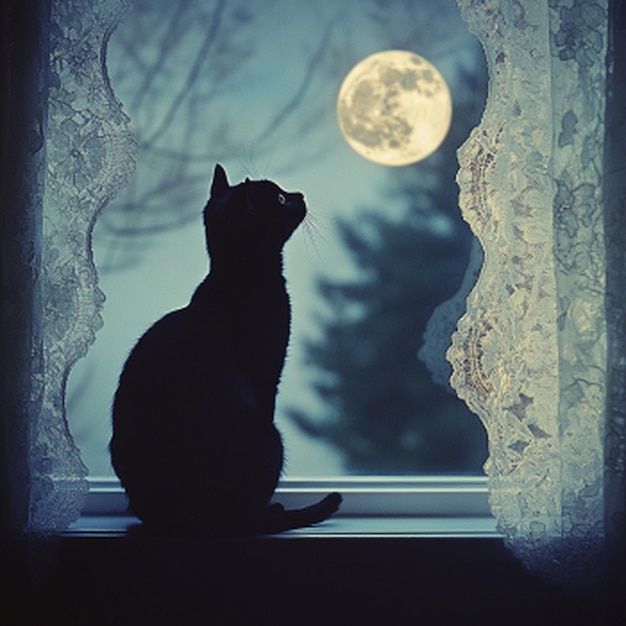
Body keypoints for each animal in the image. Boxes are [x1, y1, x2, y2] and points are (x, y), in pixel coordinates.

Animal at [109, 165, 338, 532]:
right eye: (279, 198)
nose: (299, 194)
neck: (237, 278)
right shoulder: (267, 375)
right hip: (269, 436)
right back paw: (269, 513)